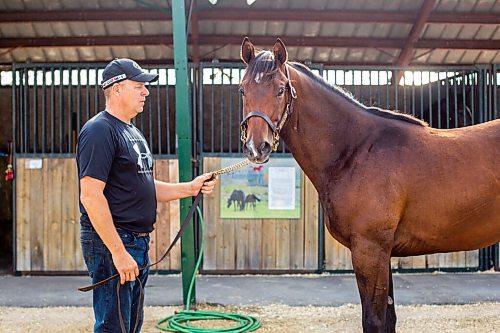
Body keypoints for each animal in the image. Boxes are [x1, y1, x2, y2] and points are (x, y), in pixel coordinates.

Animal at [237, 37, 500, 332]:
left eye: (281, 89)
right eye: (243, 90)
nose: (256, 147)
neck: (356, 149)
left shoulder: (370, 249)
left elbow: (373, 320)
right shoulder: (383, 252)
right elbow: (389, 319)